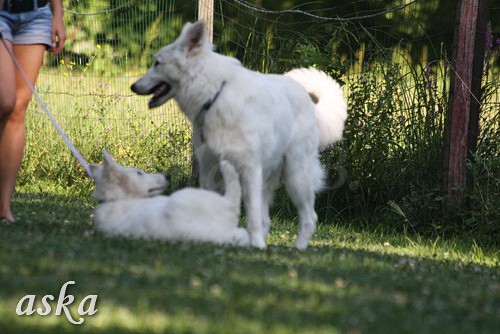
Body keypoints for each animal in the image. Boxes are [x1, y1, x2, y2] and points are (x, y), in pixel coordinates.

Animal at [131, 20, 346, 249]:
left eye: (157, 63)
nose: (132, 86)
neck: (215, 96)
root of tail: (307, 98)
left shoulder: (248, 170)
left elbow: (251, 216)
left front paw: (257, 246)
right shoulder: (209, 170)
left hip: (295, 176)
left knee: (308, 218)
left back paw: (295, 249)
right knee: (267, 219)